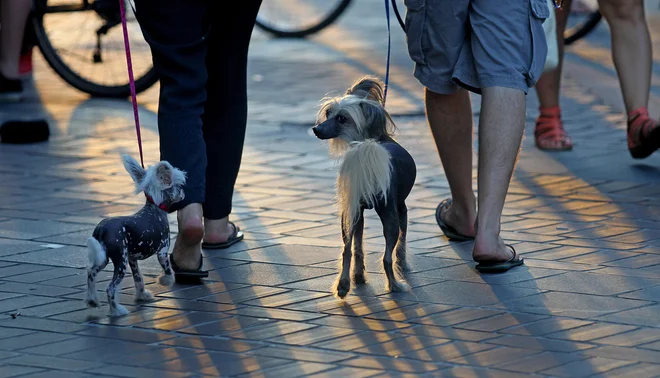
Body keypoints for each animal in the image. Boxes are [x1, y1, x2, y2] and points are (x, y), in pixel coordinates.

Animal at [84, 154, 186, 316]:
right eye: (178, 186)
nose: (183, 193)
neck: (155, 209)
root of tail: (101, 228)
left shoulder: (133, 259)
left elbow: (139, 279)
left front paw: (142, 295)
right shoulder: (163, 252)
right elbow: (169, 271)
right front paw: (166, 281)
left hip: (105, 258)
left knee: (91, 273)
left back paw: (92, 300)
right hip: (121, 262)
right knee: (110, 288)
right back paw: (116, 310)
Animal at [312, 74, 416, 298]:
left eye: (341, 118)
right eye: (329, 113)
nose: (316, 129)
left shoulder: (357, 212)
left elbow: (357, 246)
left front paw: (358, 275)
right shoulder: (401, 208)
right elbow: (402, 243)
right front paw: (403, 264)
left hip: (348, 215)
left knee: (346, 249)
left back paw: (344, 285)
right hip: (390, 213)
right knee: (387, 256)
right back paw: (395, 285)